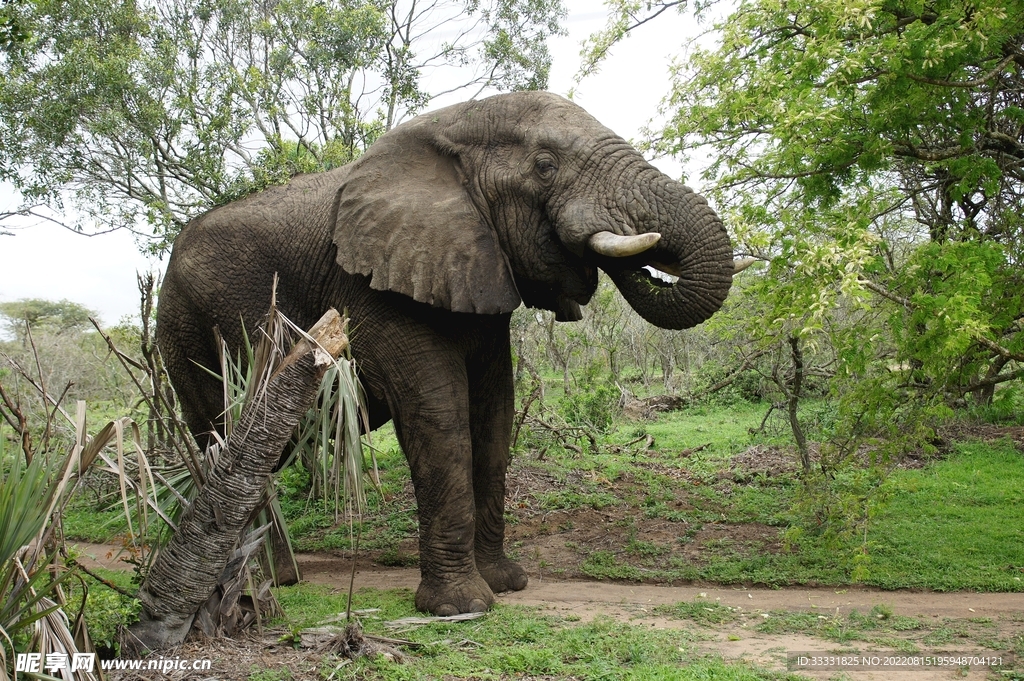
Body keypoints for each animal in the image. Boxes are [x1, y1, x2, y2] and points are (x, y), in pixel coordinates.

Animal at [156, 91, 738, 616]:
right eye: (545, 166)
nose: (639, 255)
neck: (452, 128)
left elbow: (494, 412)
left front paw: (506, 584)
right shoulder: (374, 287)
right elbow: (439, 412)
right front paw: (462, 608)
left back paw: (277, 577)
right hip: (188, 333)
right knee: (229, 438)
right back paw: (267, 580)